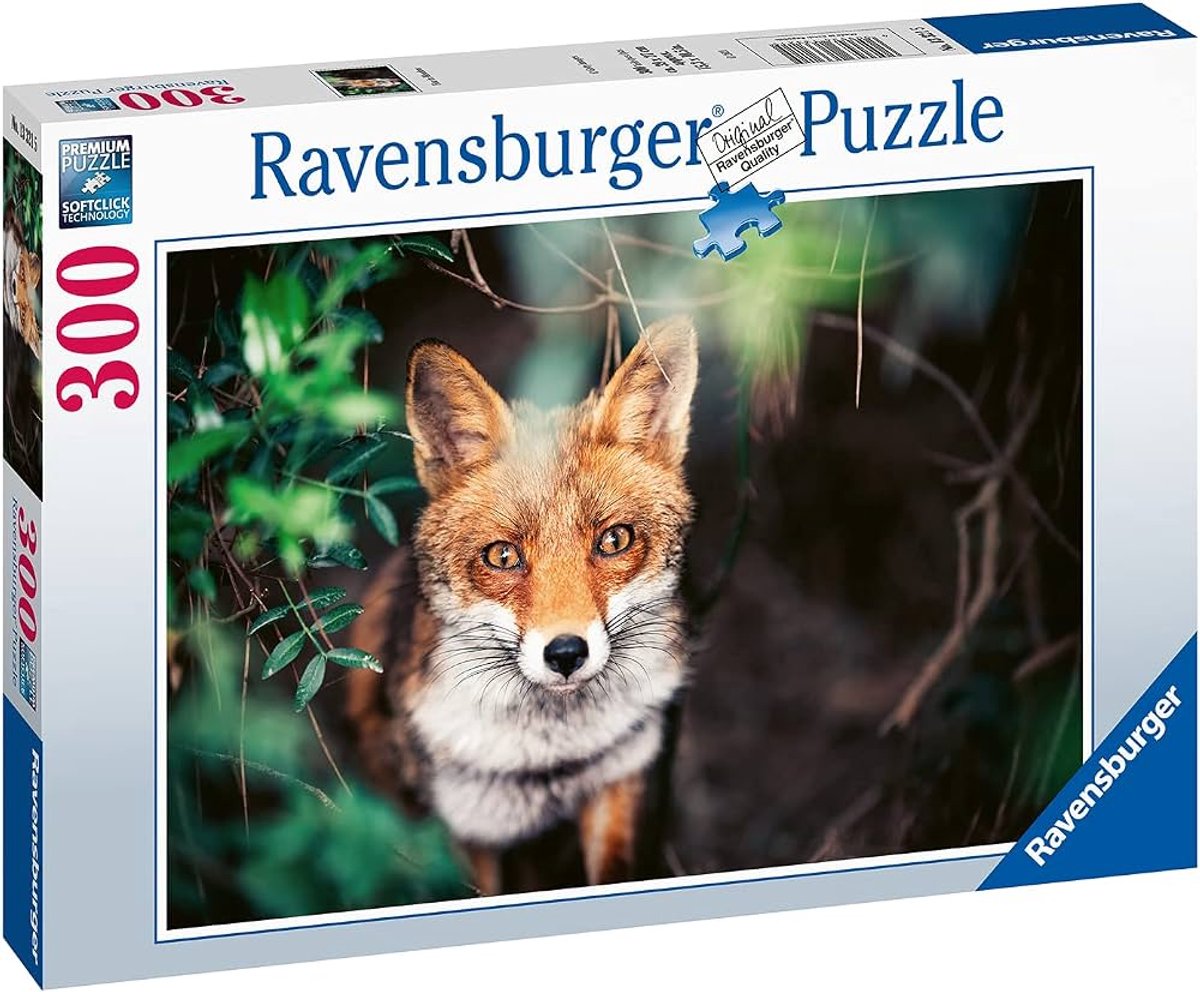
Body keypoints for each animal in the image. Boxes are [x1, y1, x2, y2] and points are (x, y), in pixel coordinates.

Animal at [345, 316, 698, 895]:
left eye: (614, 540)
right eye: (503, 555)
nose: (566, 653)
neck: (551, 758)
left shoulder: (617, 782)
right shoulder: (468, 829)